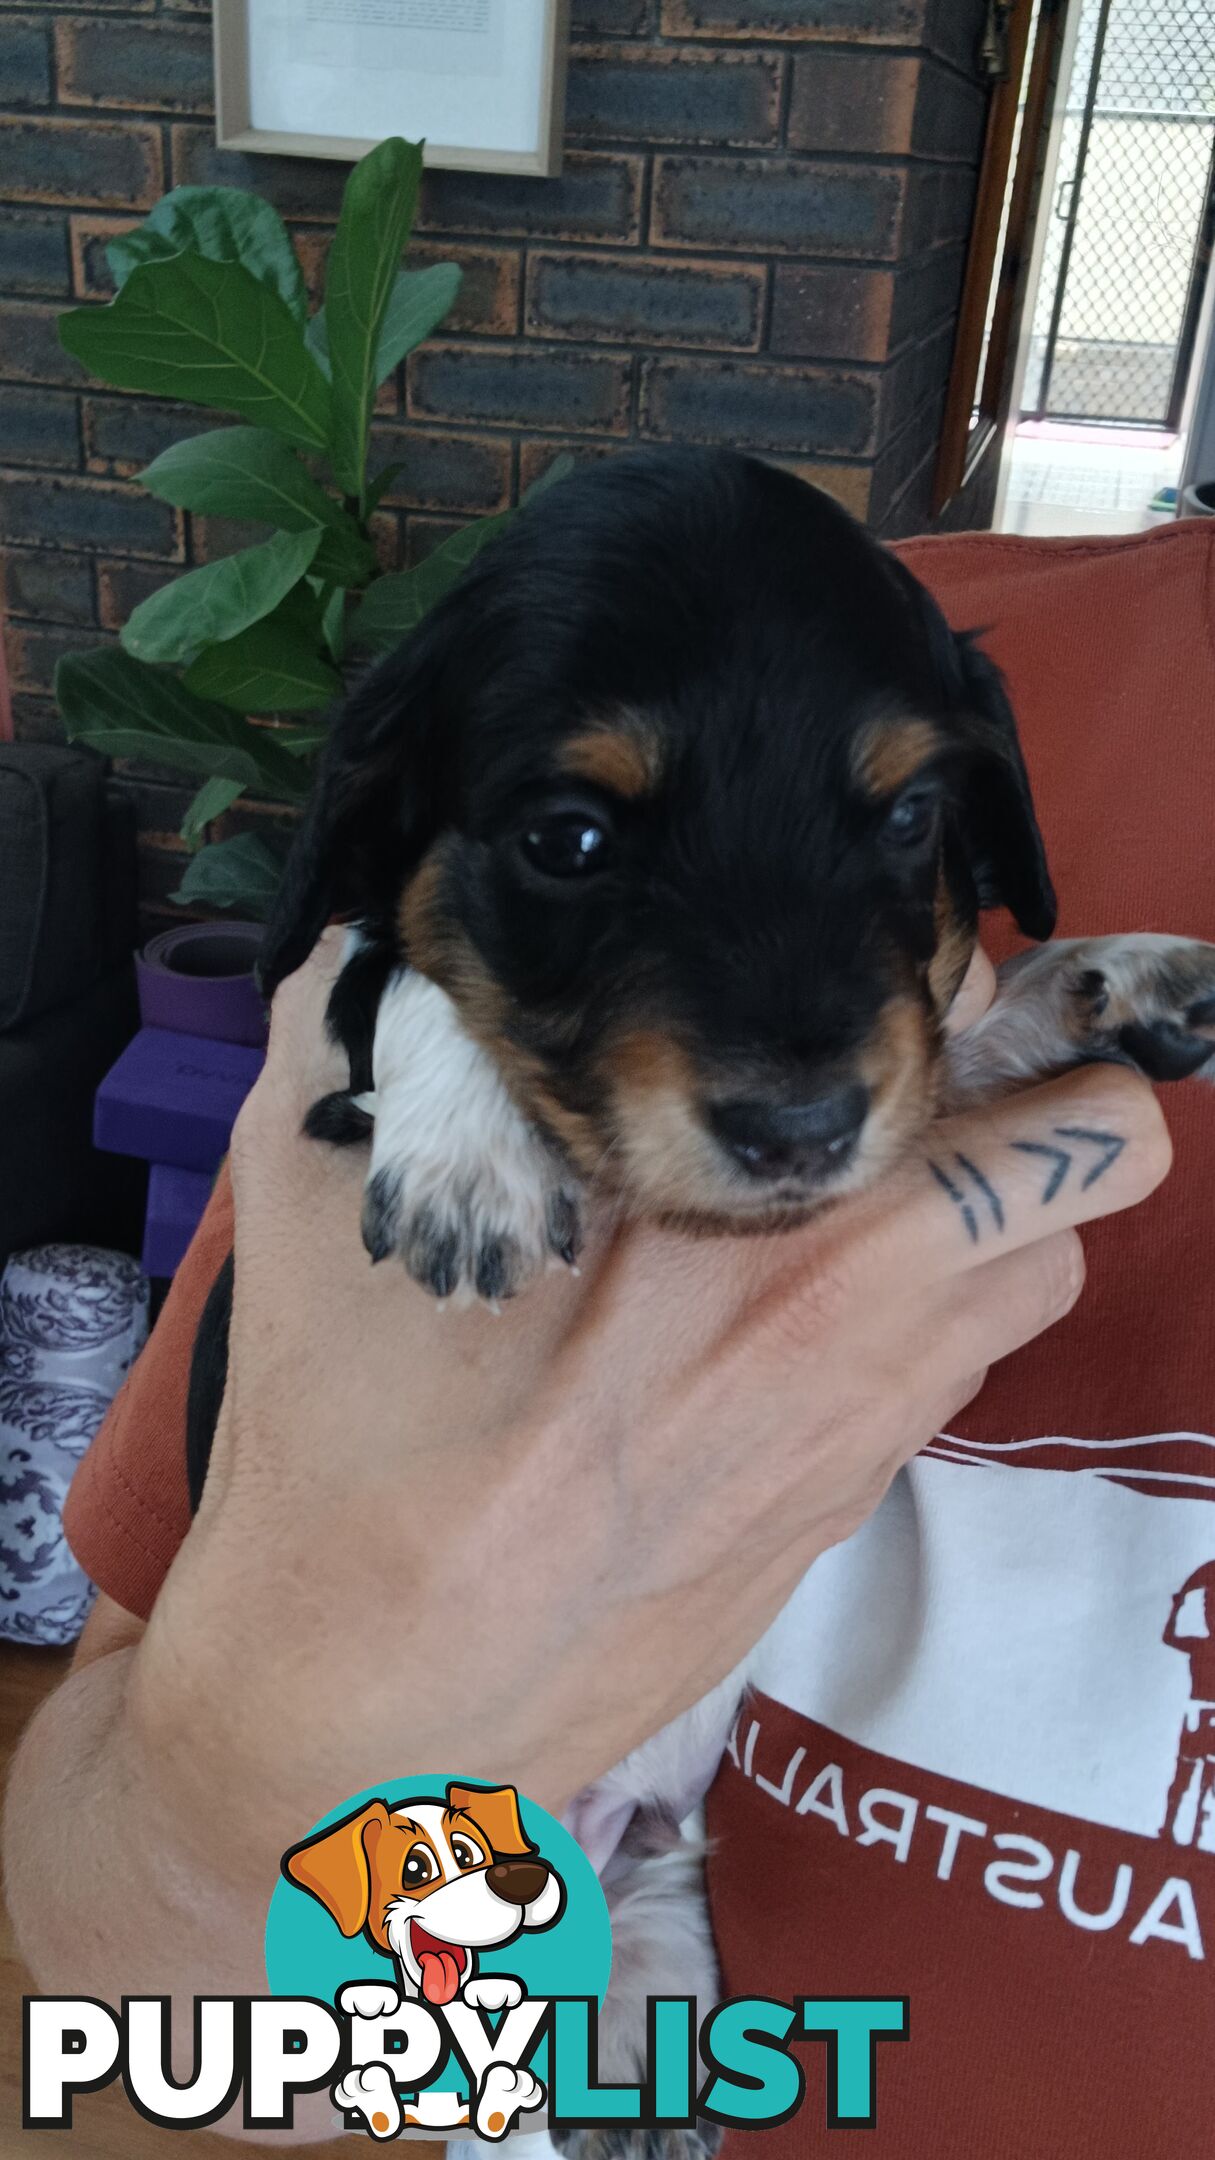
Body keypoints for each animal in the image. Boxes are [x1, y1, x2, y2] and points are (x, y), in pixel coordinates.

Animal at [191, 447, 1210, 2151]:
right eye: (568, 841)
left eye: (912, 814)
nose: (794, 1132)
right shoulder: (339, 1054)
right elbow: (400, 974)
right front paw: (469, 1162)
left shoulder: (889, 1090)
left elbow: (932, 1047)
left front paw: (1099, 977)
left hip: (656, 1895)